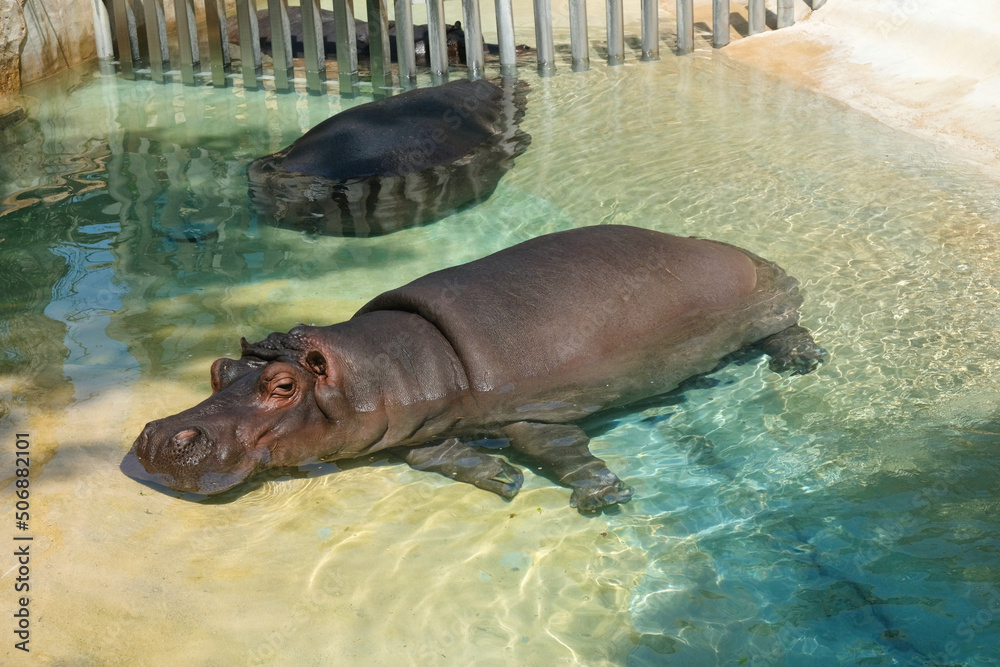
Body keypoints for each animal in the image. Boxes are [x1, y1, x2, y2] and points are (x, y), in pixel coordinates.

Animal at [121, 225, 825, 512]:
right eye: (217, 368)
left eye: (284, 385)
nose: (160, 437)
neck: (399, 365)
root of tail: (744, 252)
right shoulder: (420, 426)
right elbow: (429, 455)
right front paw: (499, 477)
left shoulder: (533, 412)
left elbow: (558, 449)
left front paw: (601, 494)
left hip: (764, 308)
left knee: (787, 326)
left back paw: (804, 362)